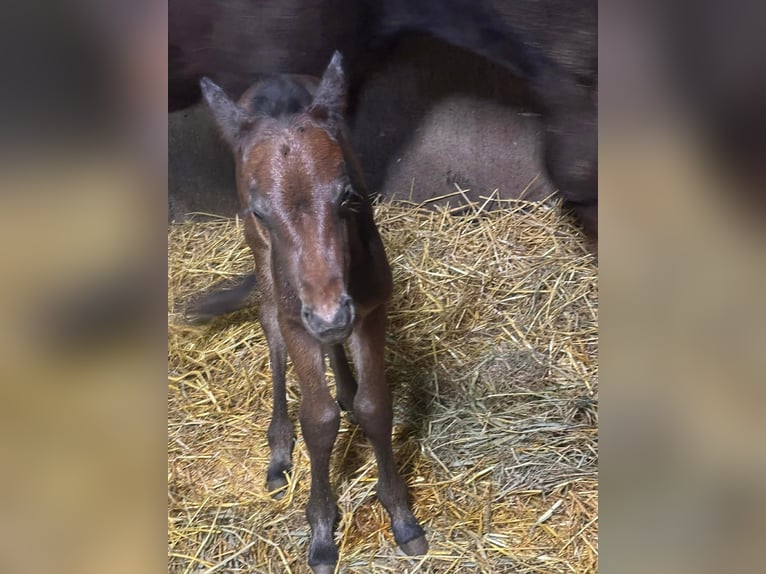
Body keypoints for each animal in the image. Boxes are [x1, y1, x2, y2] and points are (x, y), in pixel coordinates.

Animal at [199, 52, 428, 573]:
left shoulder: (370, 308)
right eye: (261, 210)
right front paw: (322, 531)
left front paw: (402, 517)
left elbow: (374, 405)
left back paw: (342, 382)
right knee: (271, 331)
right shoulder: (298, 318)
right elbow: (318, 420)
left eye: (348, 196)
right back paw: (279, 448)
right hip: (267, 275)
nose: (328, 316)